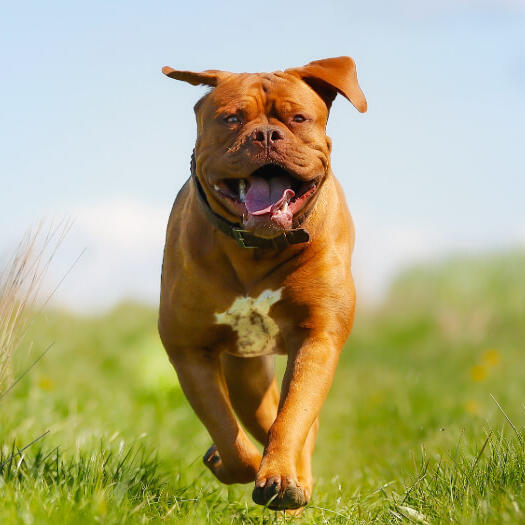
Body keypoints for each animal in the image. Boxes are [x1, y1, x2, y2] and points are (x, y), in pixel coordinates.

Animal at [158, 56, 366, 508]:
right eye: (232, 118)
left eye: (298, 118)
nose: (267, 134)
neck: (258, 247)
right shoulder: (189, 350)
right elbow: (226, 431)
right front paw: (242, 464)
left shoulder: (317, 337)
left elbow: (293, 416)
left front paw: (283, 477)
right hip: (245, 374)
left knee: (296, 422)